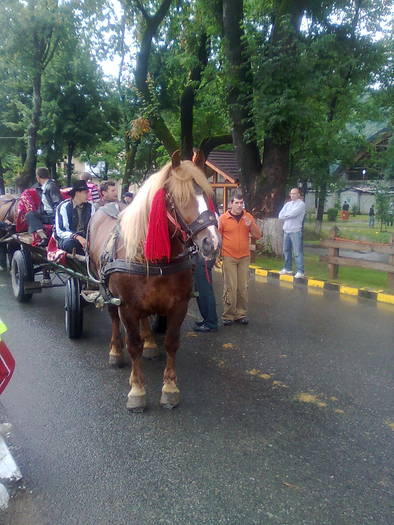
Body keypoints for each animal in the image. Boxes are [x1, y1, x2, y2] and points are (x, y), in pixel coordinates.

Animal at [87, 154, 220, 412]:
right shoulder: (127, 306)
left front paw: (170, 388)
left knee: (146, 321)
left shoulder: (178, 305)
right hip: (107, 291)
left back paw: (150, 343)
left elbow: (171, 342)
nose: (212, 243)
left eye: (209, 195)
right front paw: (137, 390)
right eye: (180, 197)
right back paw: (115, 351)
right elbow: (133, 345)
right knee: (114, 320)